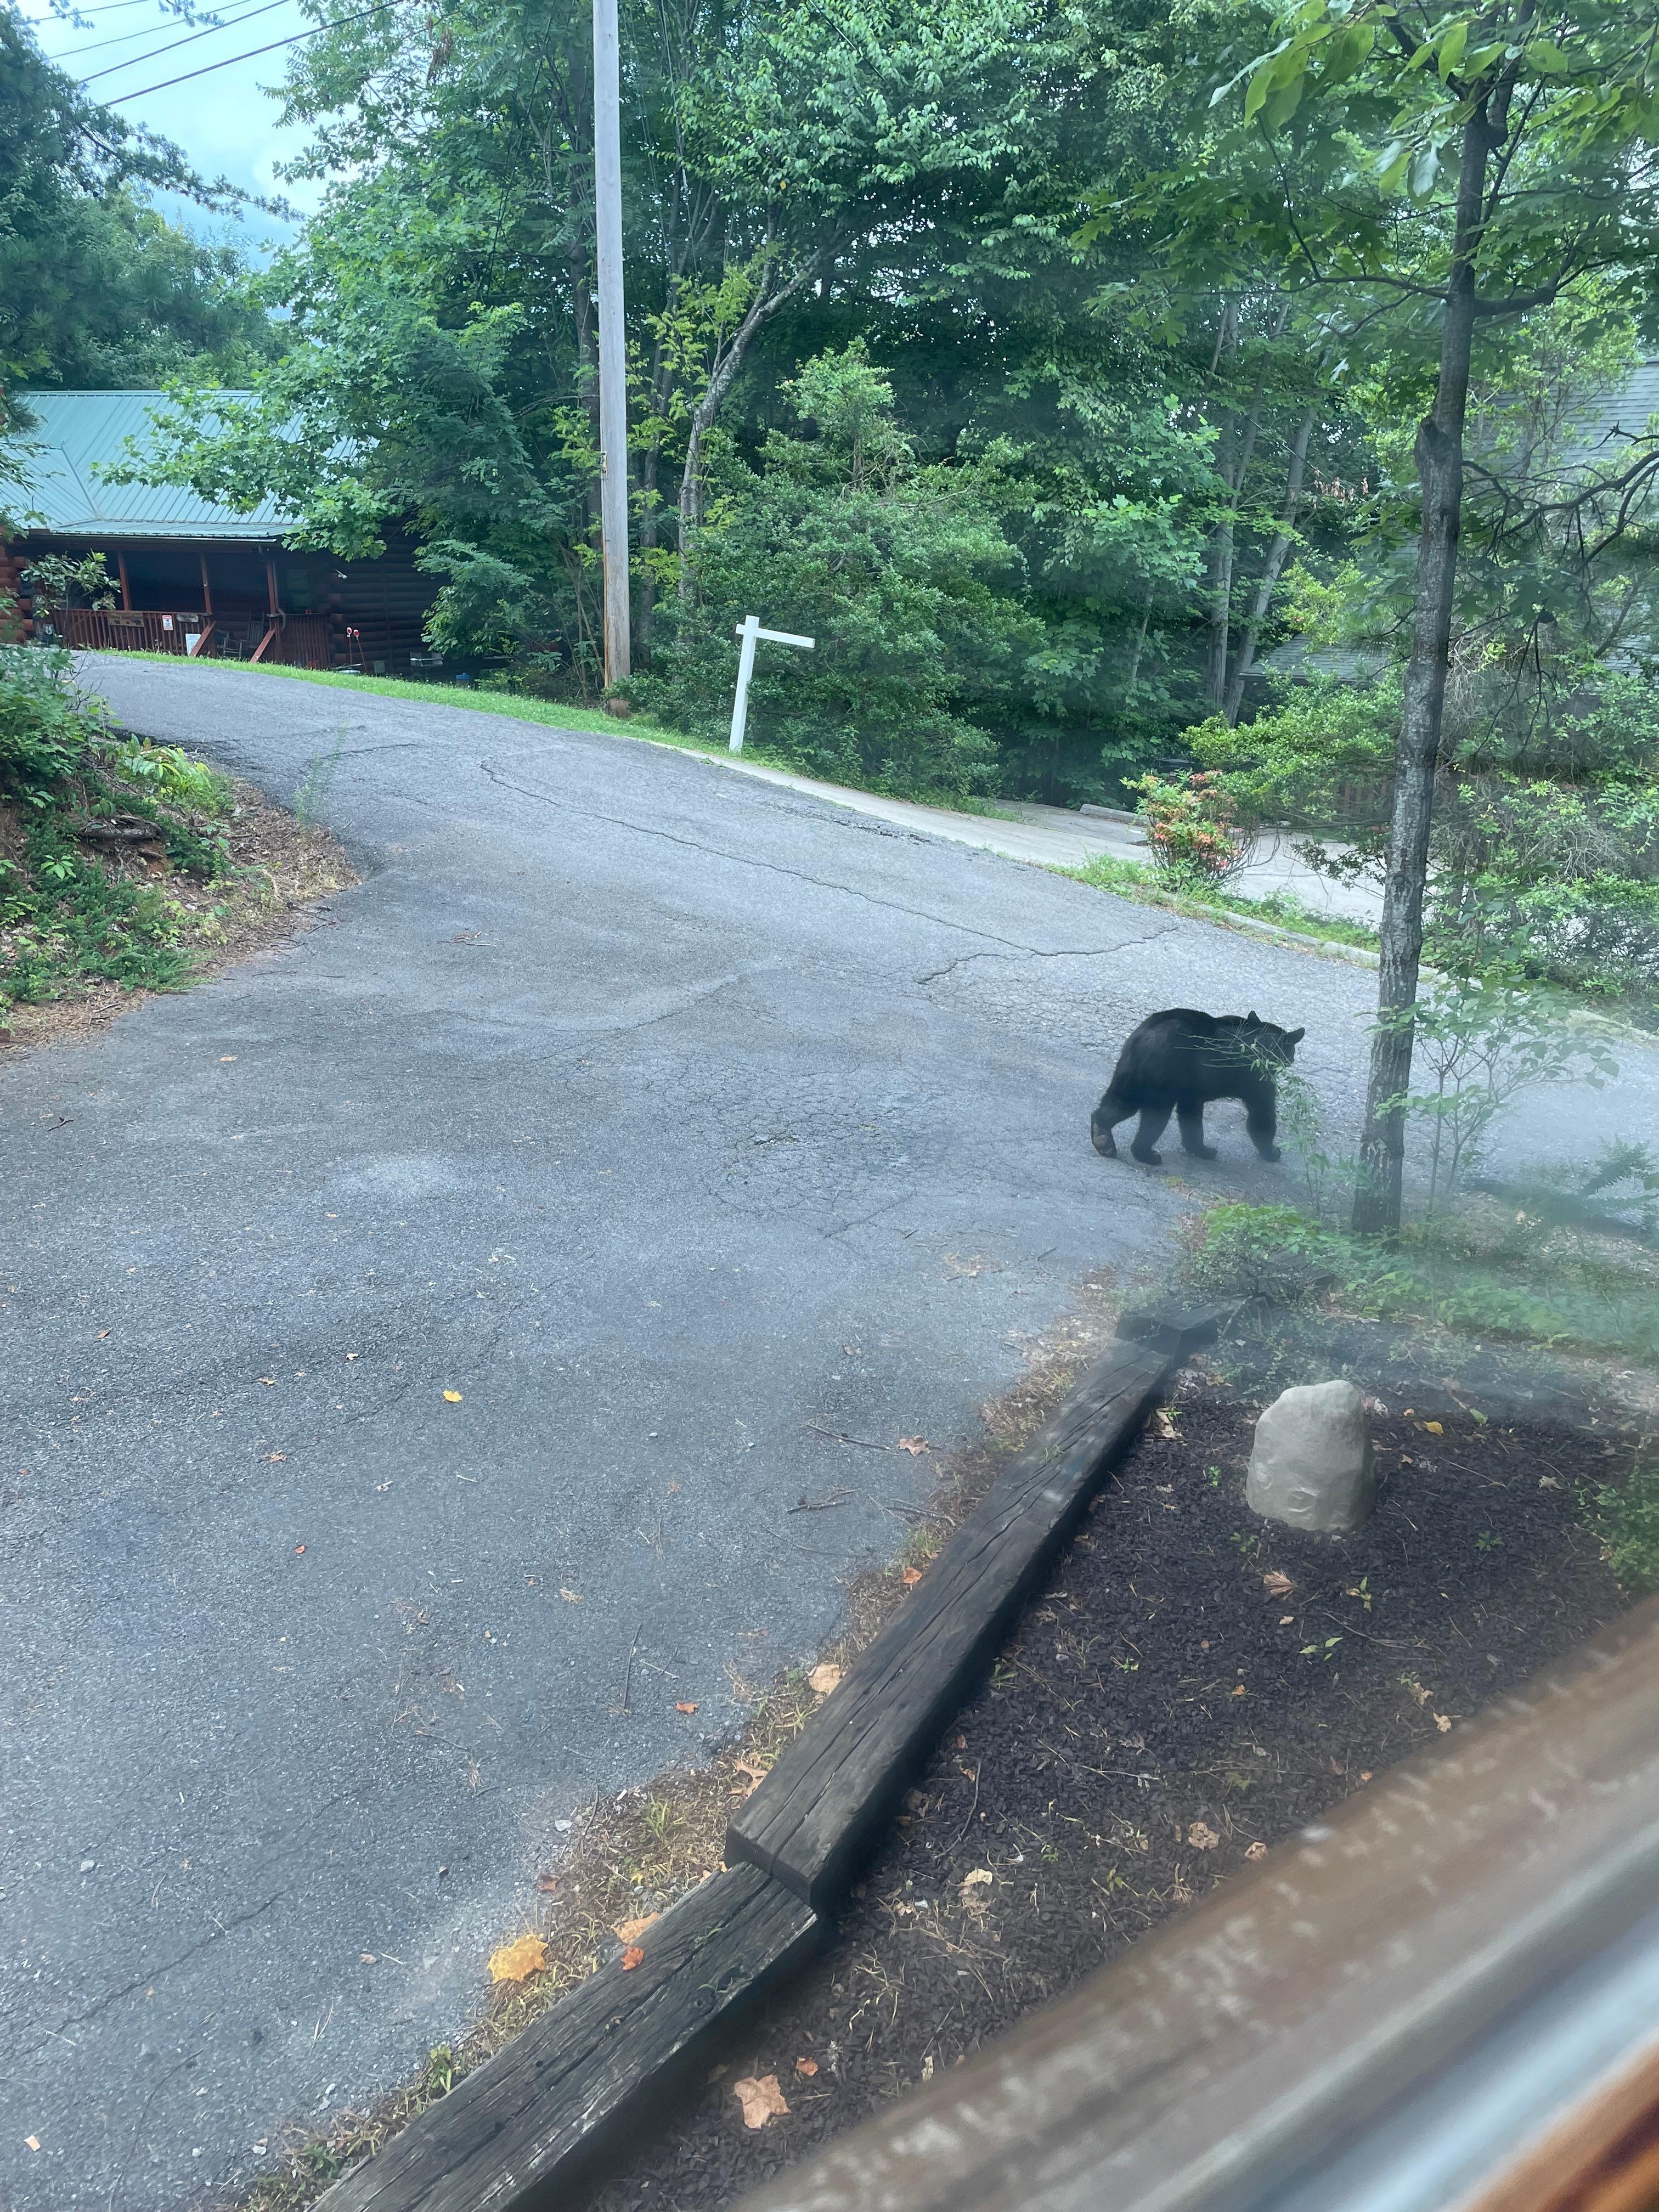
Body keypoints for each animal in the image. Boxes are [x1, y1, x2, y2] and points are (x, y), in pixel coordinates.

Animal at [1090, 1008, 1305, 1166]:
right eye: (1292, 1050)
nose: (1292, 1059)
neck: (1261, 1040)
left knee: (1119, 1104)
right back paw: (1146, 1154)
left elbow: (1191, 1117)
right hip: (1162, 1078)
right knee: (1155, 1118)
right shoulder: (1257, 1078)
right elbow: (1262, 1115)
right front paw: (1272, 1151)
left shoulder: (1191, 1092)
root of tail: (1143, 1038)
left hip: (1131, 1075)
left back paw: (1103, 1138)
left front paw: (1200, 1149)